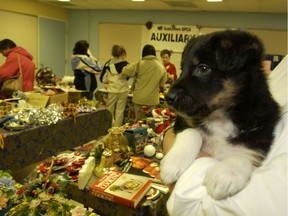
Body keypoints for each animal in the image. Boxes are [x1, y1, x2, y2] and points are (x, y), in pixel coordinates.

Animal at [159, 29, 280, 200]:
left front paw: (225, 174)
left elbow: (246, 151)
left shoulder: (261, 130)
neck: (220, 116)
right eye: (182, 68)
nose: (168, 97)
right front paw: (172, 164)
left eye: (203, 68)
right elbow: (193, 133)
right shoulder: (184, 121)